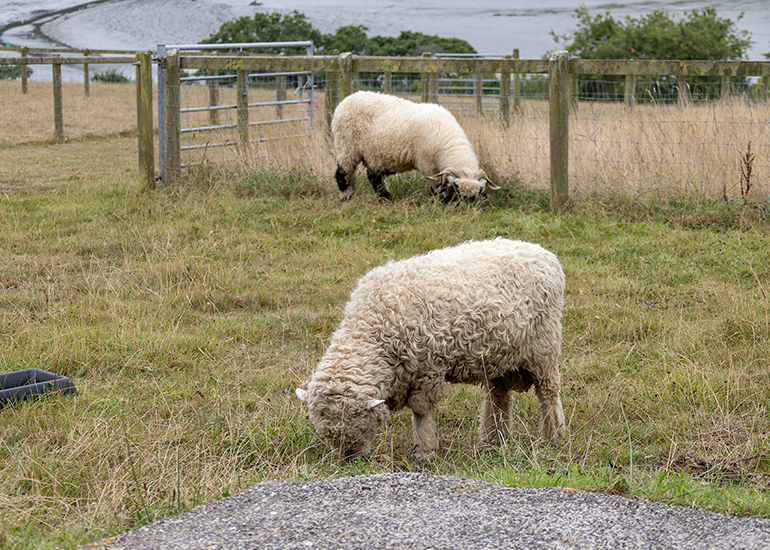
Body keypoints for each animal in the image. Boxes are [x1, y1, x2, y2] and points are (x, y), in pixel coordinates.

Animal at [296, 238, 566, 460]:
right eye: (325, 432)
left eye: (362, 426)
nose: (351, 459)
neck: (373, 327)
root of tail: (543, 252)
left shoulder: (428, 367)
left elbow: (420, 410)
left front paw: (424, 451)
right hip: (497, 353)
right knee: (498, 395)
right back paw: (493, 437)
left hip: (544, 346)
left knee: (548, 392)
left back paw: (554, 436)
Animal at [331, 91, 498, 202]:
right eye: (456, 190)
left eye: (475, 195)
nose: (465, 209)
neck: (449, 144)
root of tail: (346, 100)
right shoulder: (427, 165)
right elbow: (435, 186)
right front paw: (439, 201)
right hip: (346, 146)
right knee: (343, 173)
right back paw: (347, 197)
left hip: (372, 154)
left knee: (374, 177)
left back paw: (385, 198)